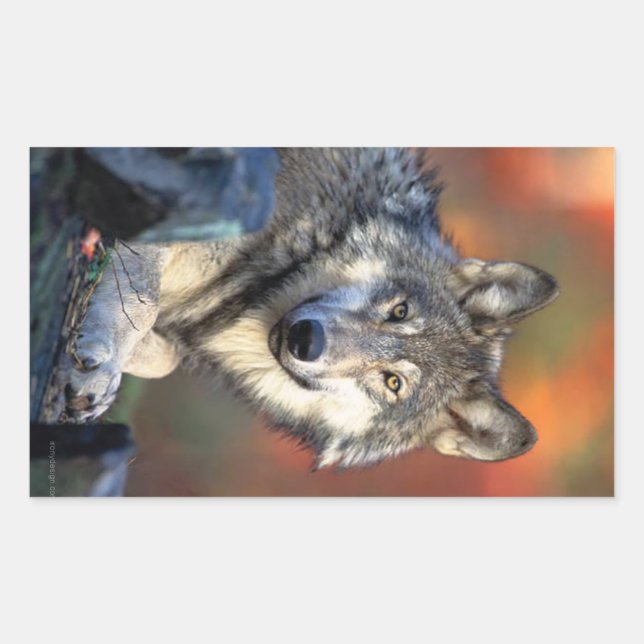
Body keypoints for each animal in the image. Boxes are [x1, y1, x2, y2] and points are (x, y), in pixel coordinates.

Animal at [61, 148, 559, 468]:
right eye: (400, 311)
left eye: (392, 382)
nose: (307, 339)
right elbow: (141, 300)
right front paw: (95, 368)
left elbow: (164, 353)